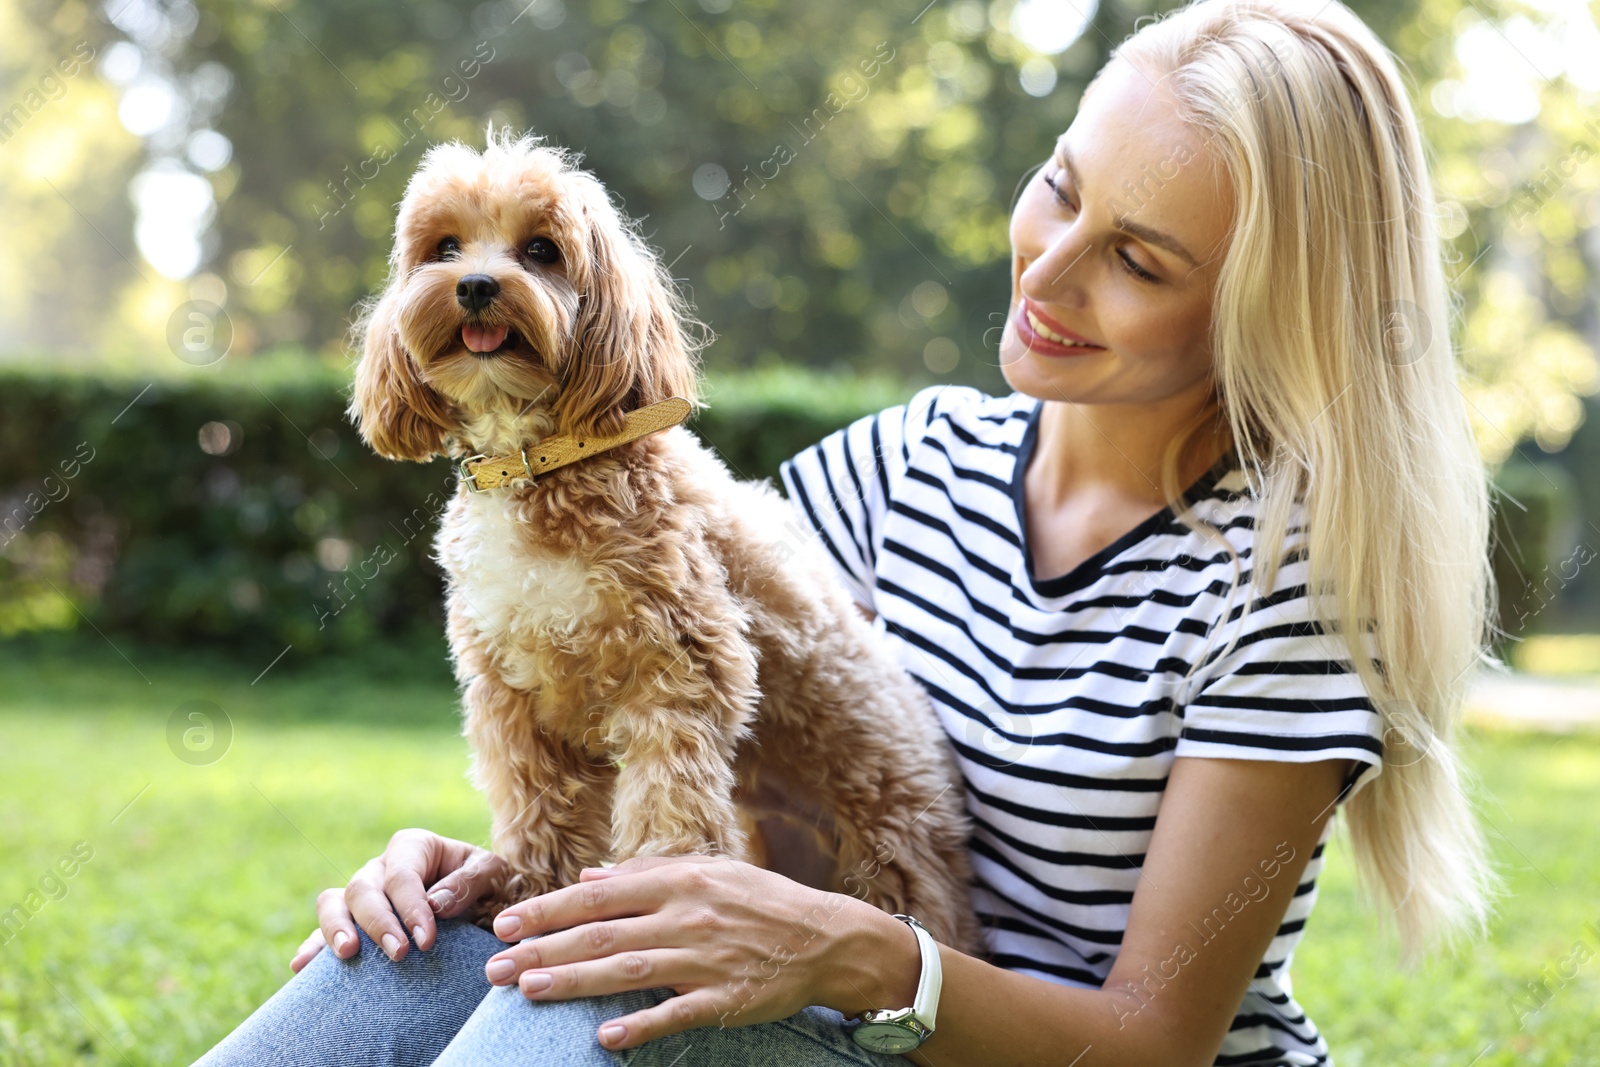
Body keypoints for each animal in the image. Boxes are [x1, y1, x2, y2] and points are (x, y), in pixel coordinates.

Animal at [345, 129, 979, 953]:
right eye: (445, 246)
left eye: (542, 249)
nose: (477, 285)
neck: (540, 461)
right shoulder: (514, 699)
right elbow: (537, 807)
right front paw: (526, 891)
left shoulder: (676, 663)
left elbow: (667, 795)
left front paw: (654, 902)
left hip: (894, 834)